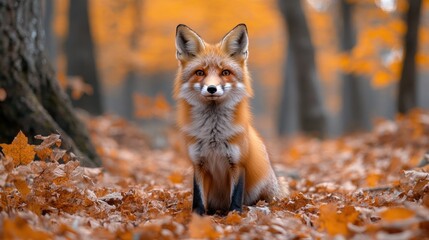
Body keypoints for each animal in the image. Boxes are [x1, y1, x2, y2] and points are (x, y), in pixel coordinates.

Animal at [175, 23, 280, 215]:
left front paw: (235, 215)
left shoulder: (238, 163)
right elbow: (198, 196)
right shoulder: (198, 164)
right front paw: (198, 216)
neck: (213, 135)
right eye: (200, 72)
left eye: (225, 72)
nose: (211, 88)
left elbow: (236, 194)